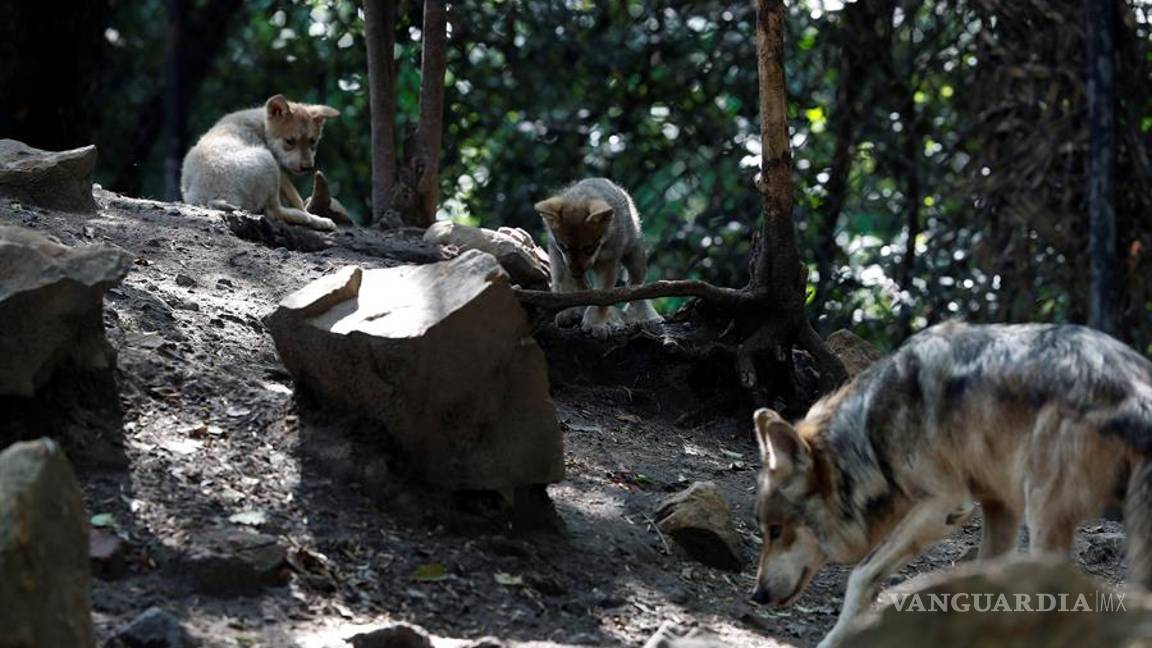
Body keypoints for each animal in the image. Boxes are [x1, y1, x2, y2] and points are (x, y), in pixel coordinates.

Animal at [181, 94, 339, 231]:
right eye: (290, 141)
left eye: (313, 141)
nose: (307, 167)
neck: (263, 127)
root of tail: (207, 197)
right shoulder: (280, 171)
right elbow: (297, 199)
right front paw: (314, 218)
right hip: (267, 160)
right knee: (274, 211)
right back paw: (312, 219)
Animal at [534, 178, 662, 338]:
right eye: (563, 247)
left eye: (589, 248)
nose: (575, 272)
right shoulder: (557, 254)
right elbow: (569, 287)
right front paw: (568, 312)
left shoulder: (609, 263)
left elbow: (602, 297)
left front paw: (595, 323)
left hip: (635, 257)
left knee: (636, 287)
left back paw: (648, 316)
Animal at [750, 322, 1152, 647]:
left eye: (775, 531)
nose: (756, 595)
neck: (870, 438)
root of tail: (1137, 393)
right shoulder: (1000, 506)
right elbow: (989, 584)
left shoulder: (944, 505)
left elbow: (860, 576)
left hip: (1042, 514)